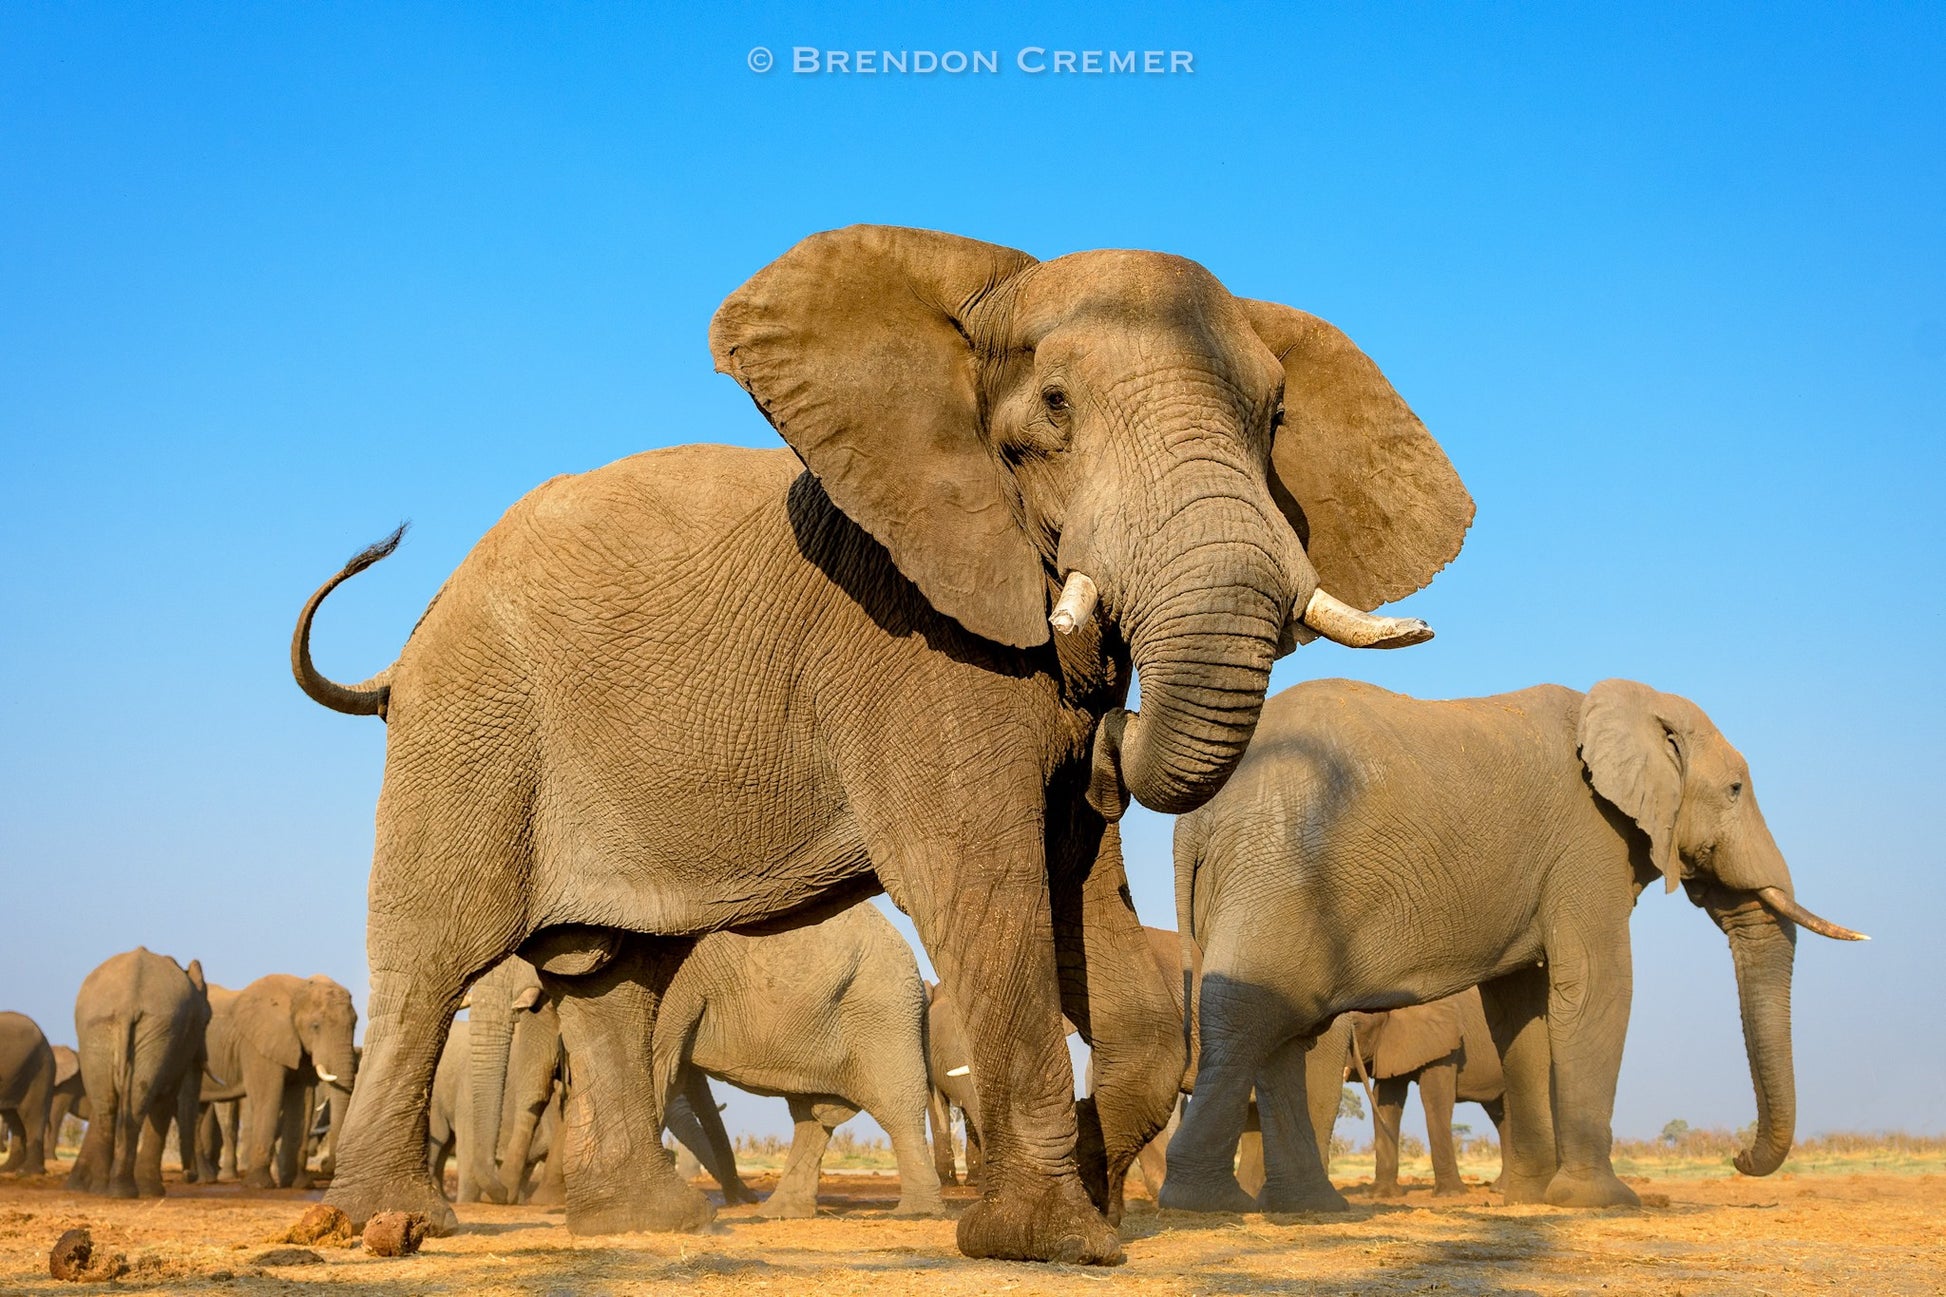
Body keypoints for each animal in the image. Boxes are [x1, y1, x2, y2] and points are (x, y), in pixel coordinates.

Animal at [67, 947, 210, 1197]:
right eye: (206, 1021)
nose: (190, 1176)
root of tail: (127, 1004)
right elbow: (166, 1100)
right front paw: (154, 1192)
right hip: (151, 1030)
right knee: (140, 1103)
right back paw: (125, 1191)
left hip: (99, 1030)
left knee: (106, 1104)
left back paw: (103, 1189)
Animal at [197, 973, 358, 1189]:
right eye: (315, 1026)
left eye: (355, 1024)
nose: (325, 1164)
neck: (298, 990)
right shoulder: (259, 1045)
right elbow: (269, 1099)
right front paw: (259, 1185)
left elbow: (303, 1103)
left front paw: (300, 1184)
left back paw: (203, 1178)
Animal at [293, 223, 1473, 1261]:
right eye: (1054, 408)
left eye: (1274, 417)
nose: (1112, 723)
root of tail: (410, 640)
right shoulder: (912, 643)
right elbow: (980, 881)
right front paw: (1048, 1243)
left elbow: (1082, 899)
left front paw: (1091, 1190)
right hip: (471, 720)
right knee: (432, 956)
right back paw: (389, 1223)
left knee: (613, 975)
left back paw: (647, 1225)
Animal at [1344, 988, 1506, 1199]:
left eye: (1356, 1024)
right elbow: (1387, 1100)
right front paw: (1380, 1195)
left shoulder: (1444, 1042)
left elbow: (1435, 1098)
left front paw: (1450, 1194)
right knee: (1500, 1114)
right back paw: (1502, 1188)